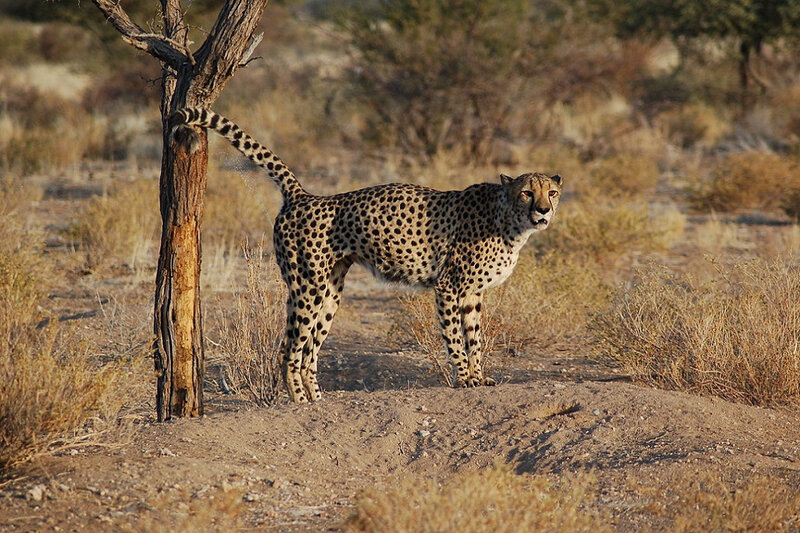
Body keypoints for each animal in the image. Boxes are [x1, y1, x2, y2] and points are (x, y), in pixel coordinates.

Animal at [172, 106, 564, 402]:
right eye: (527, 192)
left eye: (552, 192)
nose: (544, 211)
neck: (508, 220)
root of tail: (304, 195)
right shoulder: (449, 287)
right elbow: (455, 337)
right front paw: (465, 378)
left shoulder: (472, 293)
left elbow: (475, 337)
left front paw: (480, 377)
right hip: (307, 288)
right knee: (289, 349)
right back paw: (298, 401)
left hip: (330, 291)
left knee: (309, 351)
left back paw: (317, 399)